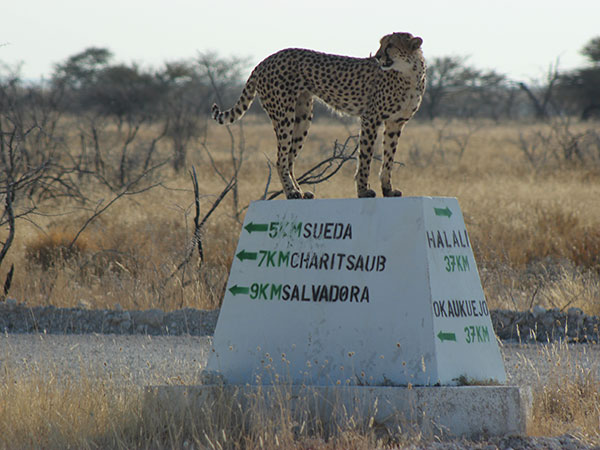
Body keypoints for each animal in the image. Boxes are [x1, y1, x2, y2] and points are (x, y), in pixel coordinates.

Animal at [211, 31, 426, 199]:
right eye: (381, 44)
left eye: (390, 45)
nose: (377, 57)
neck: (410, 74)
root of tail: (265, 60)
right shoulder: (371, 119)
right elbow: (365, 157)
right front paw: (363, 191)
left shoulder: (396, 123)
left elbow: (389, 158)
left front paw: (388, 190)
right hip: (284, 116)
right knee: (280, 159)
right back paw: (291, 193)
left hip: (303, 117)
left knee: (289, 159)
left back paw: (300, 192)